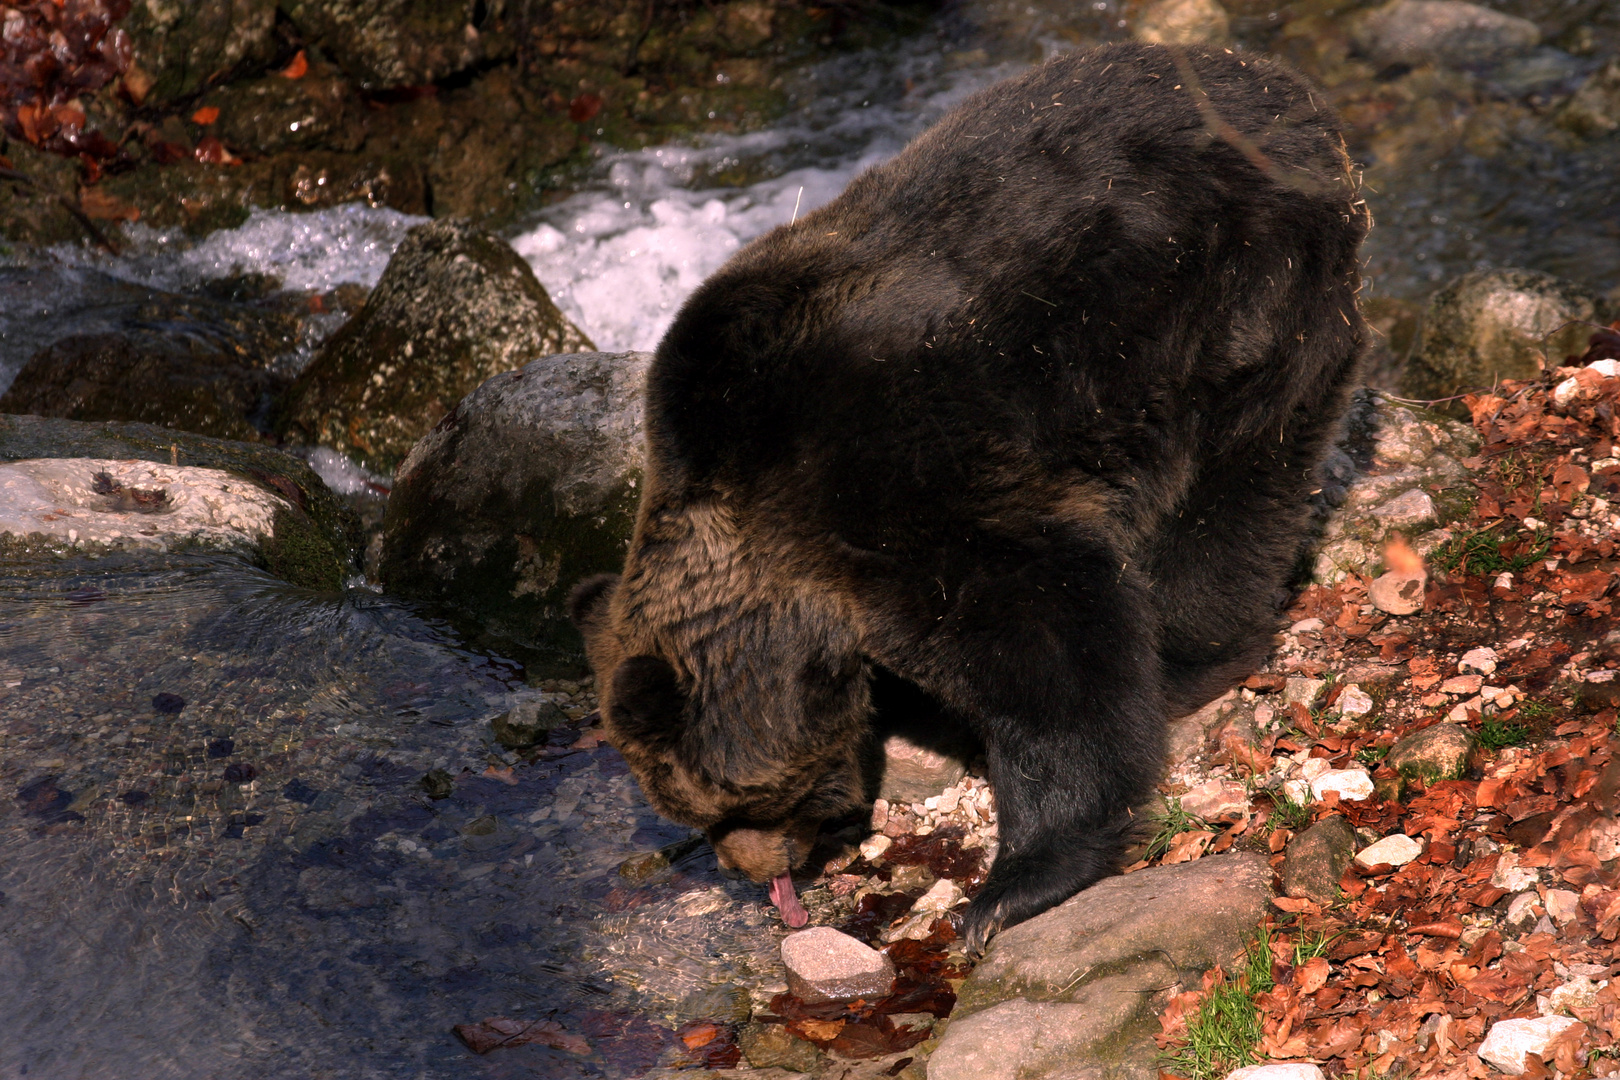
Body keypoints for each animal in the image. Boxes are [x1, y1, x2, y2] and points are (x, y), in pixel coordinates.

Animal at [570, 40, 1367, 945]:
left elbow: (1047, 643)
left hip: (1231, 303)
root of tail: (1292, 95)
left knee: (1228, 495)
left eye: (718, 806)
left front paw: (1013, 882)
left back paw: (1194, 653)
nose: (753, 873)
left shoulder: (904, 473)